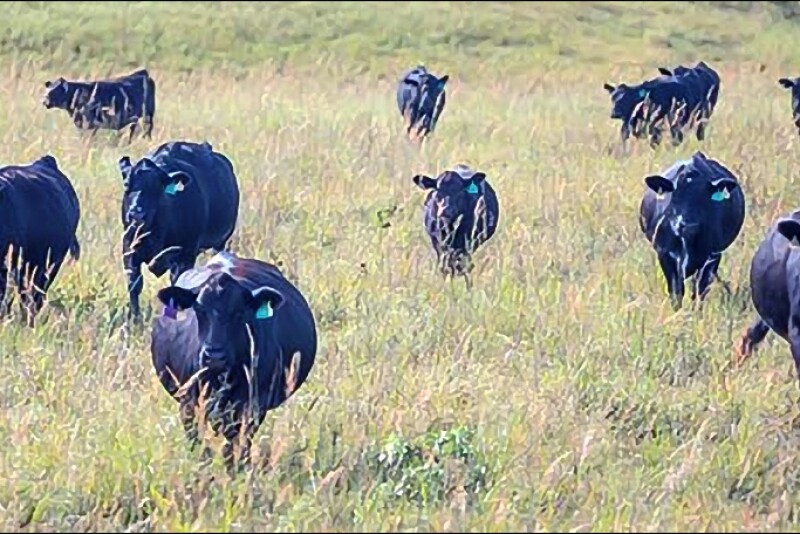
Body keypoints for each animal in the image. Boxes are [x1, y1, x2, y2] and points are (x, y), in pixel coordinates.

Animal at [118, 140, 240, 321]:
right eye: (127, 185)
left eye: (158, 188)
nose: (136, 213)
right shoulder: (129, 250)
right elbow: (134, 285)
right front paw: (136, 320)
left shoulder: (184, 255)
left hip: (221, 243)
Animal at [150, 250, 318, 471]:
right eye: (199, 309)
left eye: (239, 312)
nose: (214, 355)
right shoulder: (188, 401)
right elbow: (197, 443)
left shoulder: (253, 404)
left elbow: (236, 444)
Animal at [639, 151, 745, 310]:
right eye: (675, 194)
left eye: (704, 195)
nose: (687, 225)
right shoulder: (664, 253)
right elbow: (676, 292)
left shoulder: (713, 255)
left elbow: (700, 291)